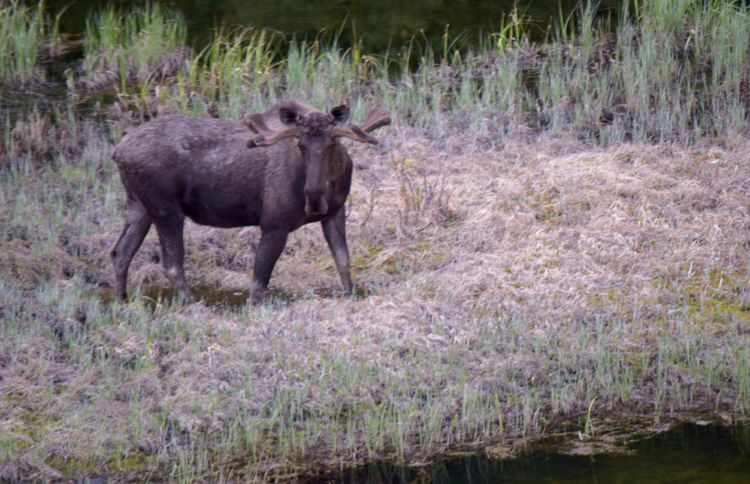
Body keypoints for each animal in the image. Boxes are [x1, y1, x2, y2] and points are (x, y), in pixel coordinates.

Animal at [111, 101, 394, 302]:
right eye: (299, 144)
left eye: (332, 143)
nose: (314, 198)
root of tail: (118, 151)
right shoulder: (274, 223)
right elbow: (259, 281)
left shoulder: (336, 212)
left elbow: (343, 260)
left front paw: (350, 294)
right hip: (166, 208)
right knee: (171, 264)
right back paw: (192, 303)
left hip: (138, 204)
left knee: (119, 251)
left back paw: (121, 299)